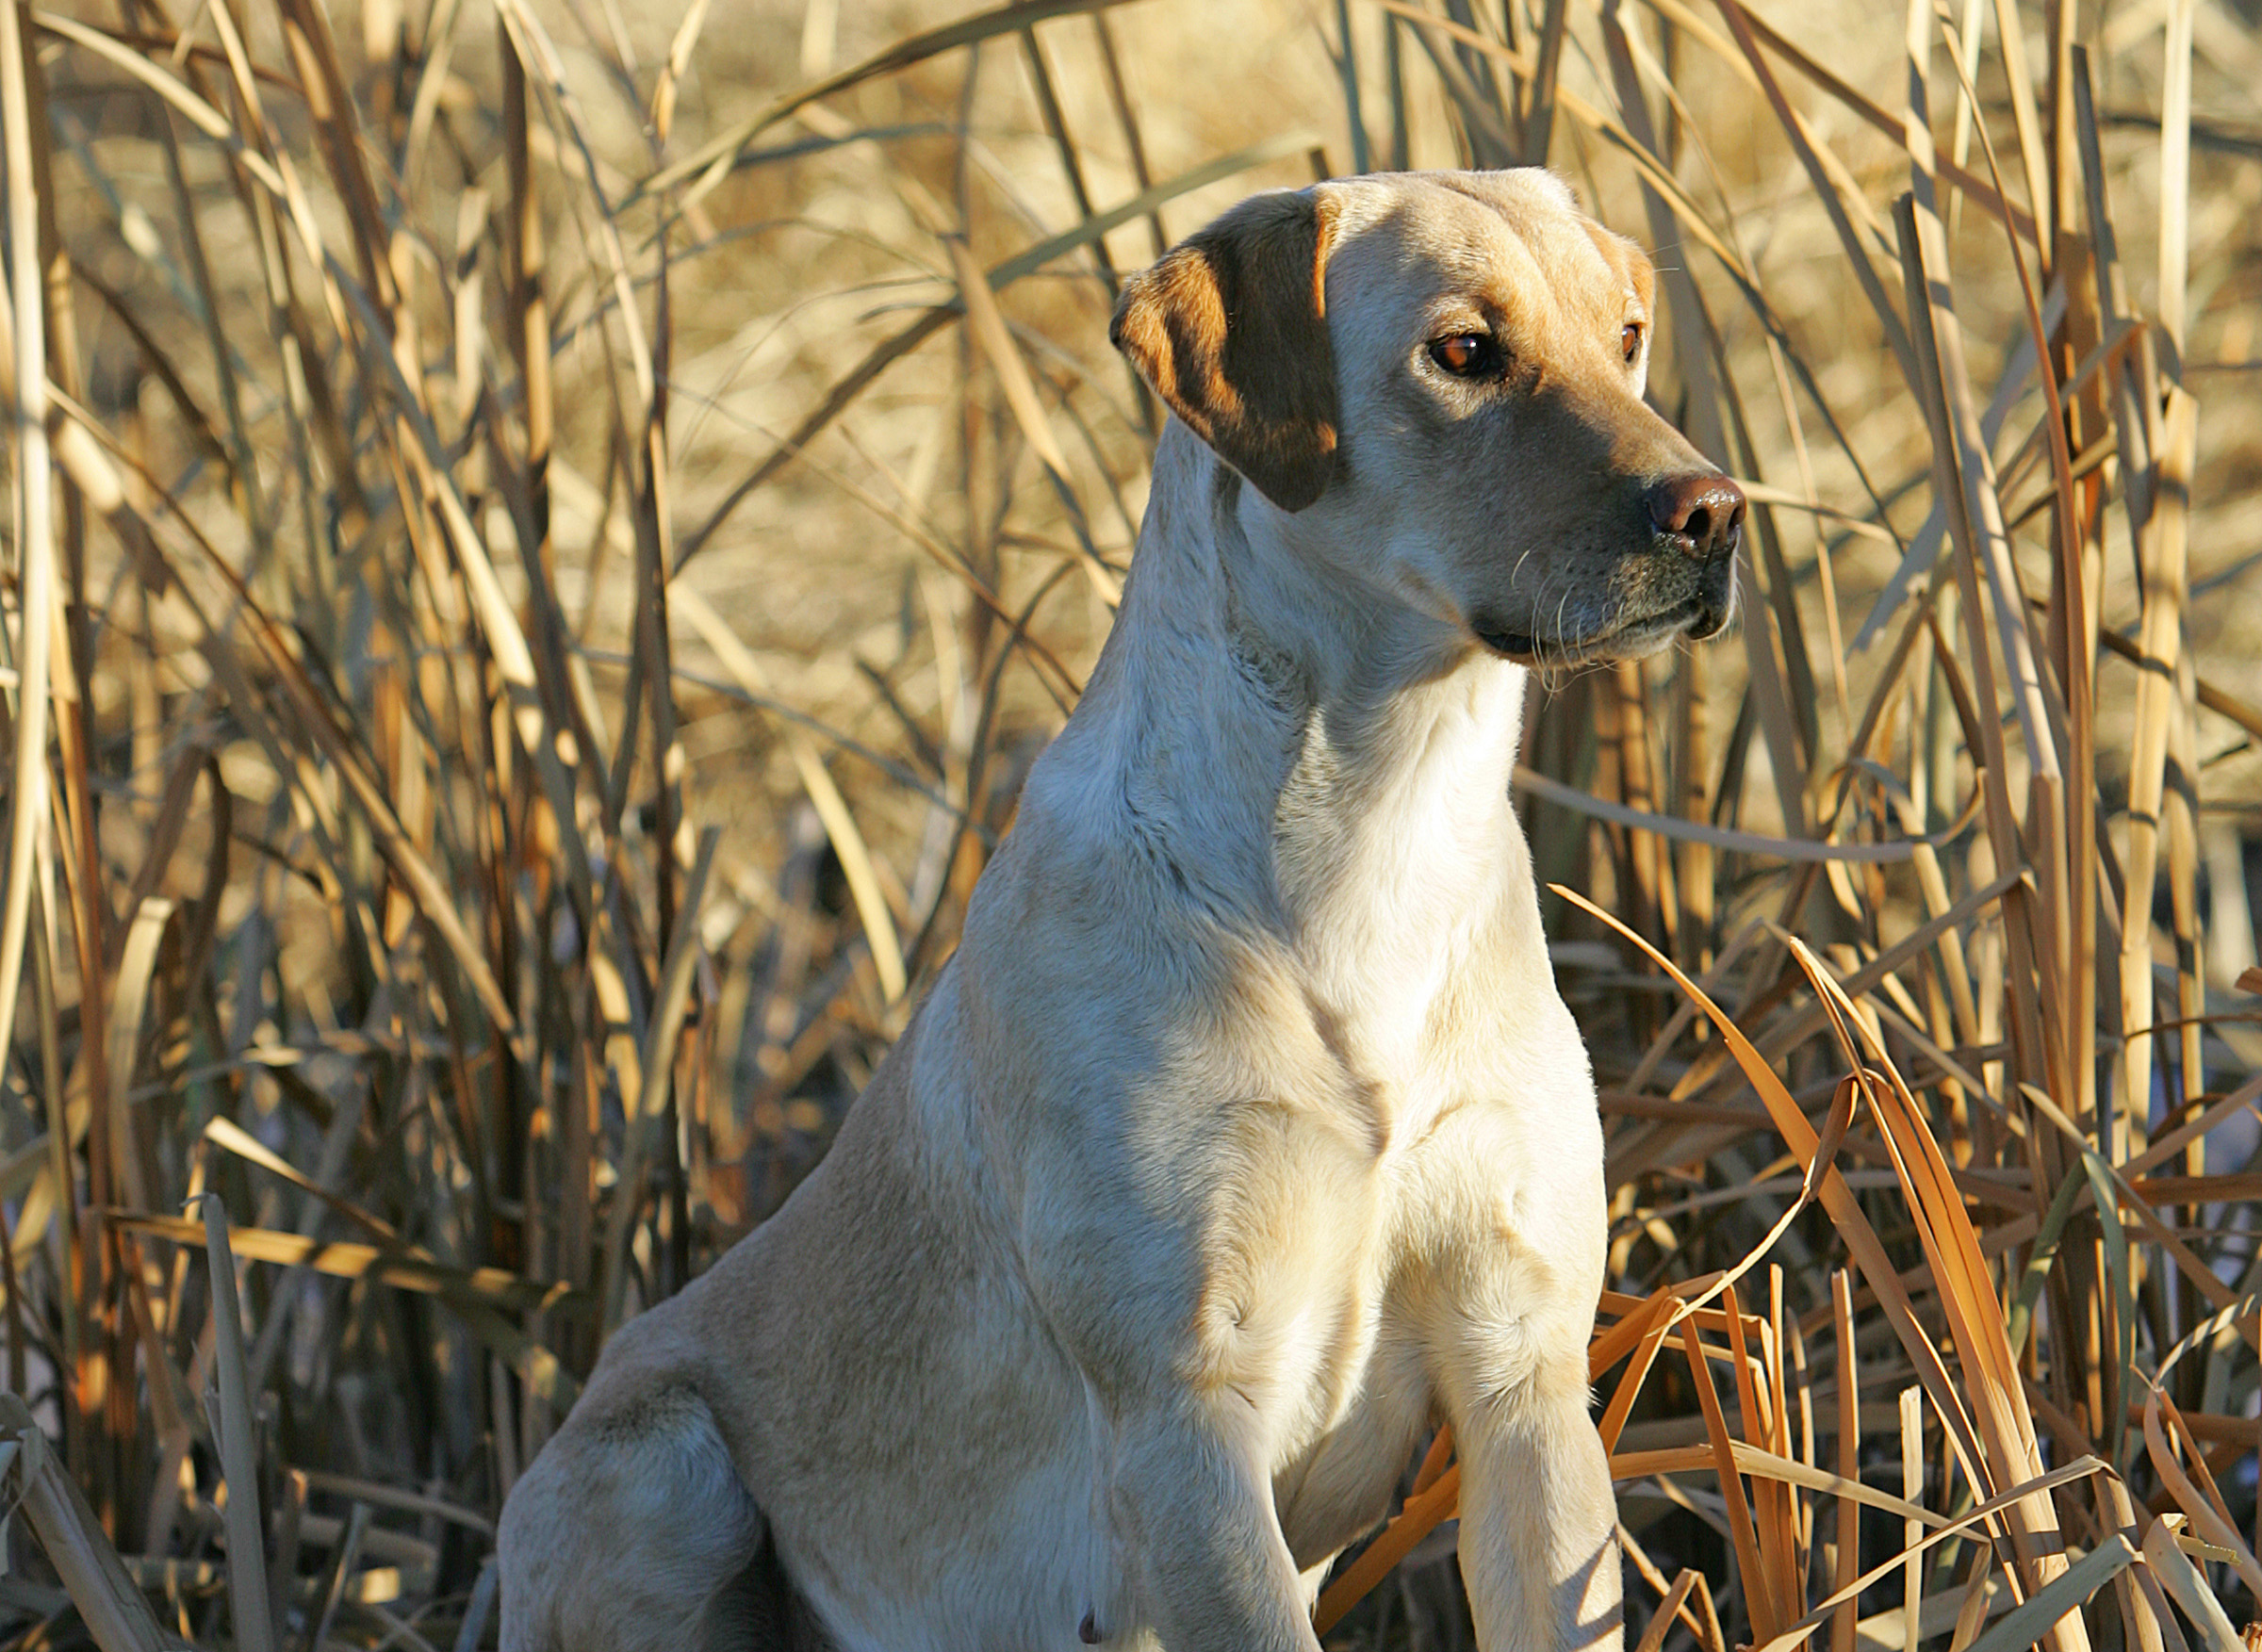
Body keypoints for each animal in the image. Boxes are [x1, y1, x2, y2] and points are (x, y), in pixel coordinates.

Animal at [504, 167, 1746, 1647]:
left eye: (1627, 337)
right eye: (1463, 351)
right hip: (661, 1467)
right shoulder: (1182, 1413)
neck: (1372, 833)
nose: (1714, 512)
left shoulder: (1525, 1373)